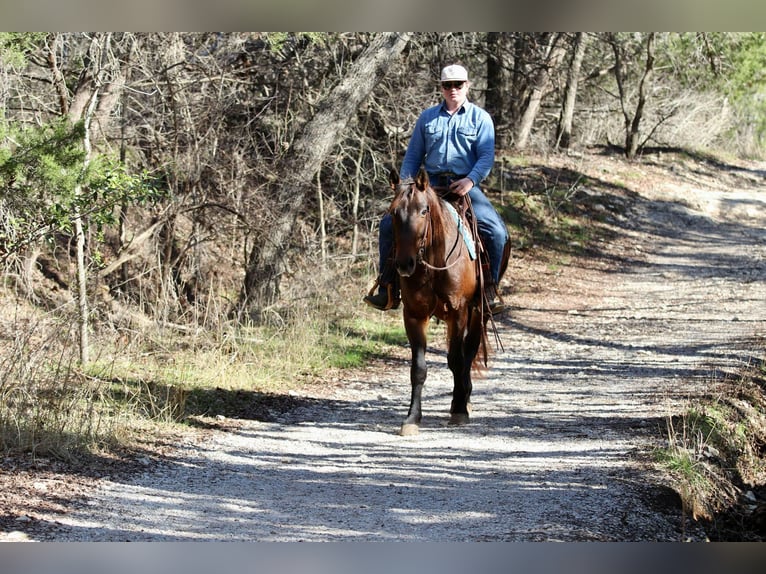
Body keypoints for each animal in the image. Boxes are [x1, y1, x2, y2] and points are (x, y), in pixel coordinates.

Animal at [388, 167, 510, 436]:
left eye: (424, 211)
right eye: (393, 212)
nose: (404, 264)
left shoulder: (458, 311)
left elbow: (456, 360)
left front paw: (460, 410)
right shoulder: (414, 315)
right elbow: (418, 369)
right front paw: (412, 419)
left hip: (478, 313)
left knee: (469, 352)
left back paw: (463, 399)